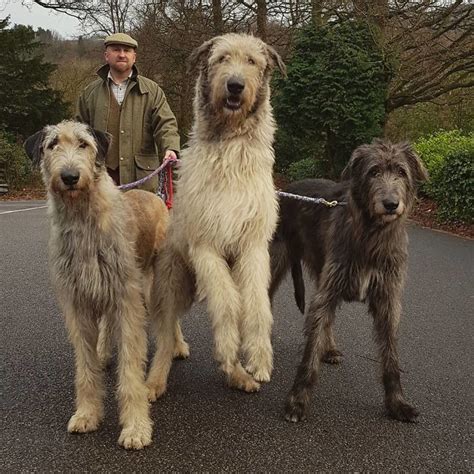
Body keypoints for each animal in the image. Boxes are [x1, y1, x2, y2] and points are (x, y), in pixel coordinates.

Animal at [270, 140, 430, 422]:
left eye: (401, 172)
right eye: (373, 172)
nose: (391, 204)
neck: (371, 234)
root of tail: (288, 187)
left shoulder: (387, 298)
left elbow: (390, 354)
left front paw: (397, 403)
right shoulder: (330, 287)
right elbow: (309, 351)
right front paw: (297, 400)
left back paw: (329, 348)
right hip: (278, 257)